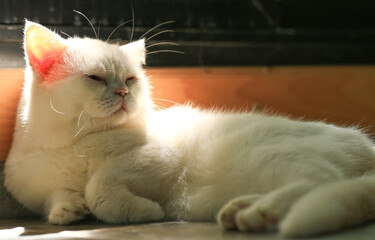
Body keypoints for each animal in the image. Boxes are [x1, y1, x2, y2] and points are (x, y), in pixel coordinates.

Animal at [4, 21, 375, 238]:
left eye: (131, 79)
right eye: (95, 78)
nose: (123, 92)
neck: (72, 144)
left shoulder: (155, 157)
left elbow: (100, 188)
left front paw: (144, 212)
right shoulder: (39, 187)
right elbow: (57, 200)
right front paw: (68, 209)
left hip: (273, 156)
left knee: (320, 181)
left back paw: (260, 214)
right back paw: (242, 211)